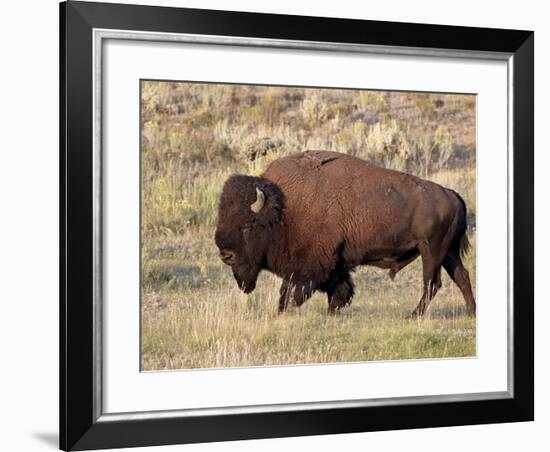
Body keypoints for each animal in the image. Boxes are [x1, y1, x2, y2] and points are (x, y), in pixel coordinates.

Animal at [216, 150, 478, 316]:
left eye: (247, 225)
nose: (225, 254)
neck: (283, 210)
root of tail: (452, 194)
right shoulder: (335, 263)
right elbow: (341, 290)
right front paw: (332, 313)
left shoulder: (310, 266)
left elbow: (290, 293)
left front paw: (284, 312)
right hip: (448, 252)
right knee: (461, 277)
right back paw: (471, 313)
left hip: (431, 251)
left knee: (432, 284)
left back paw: (414, 316)